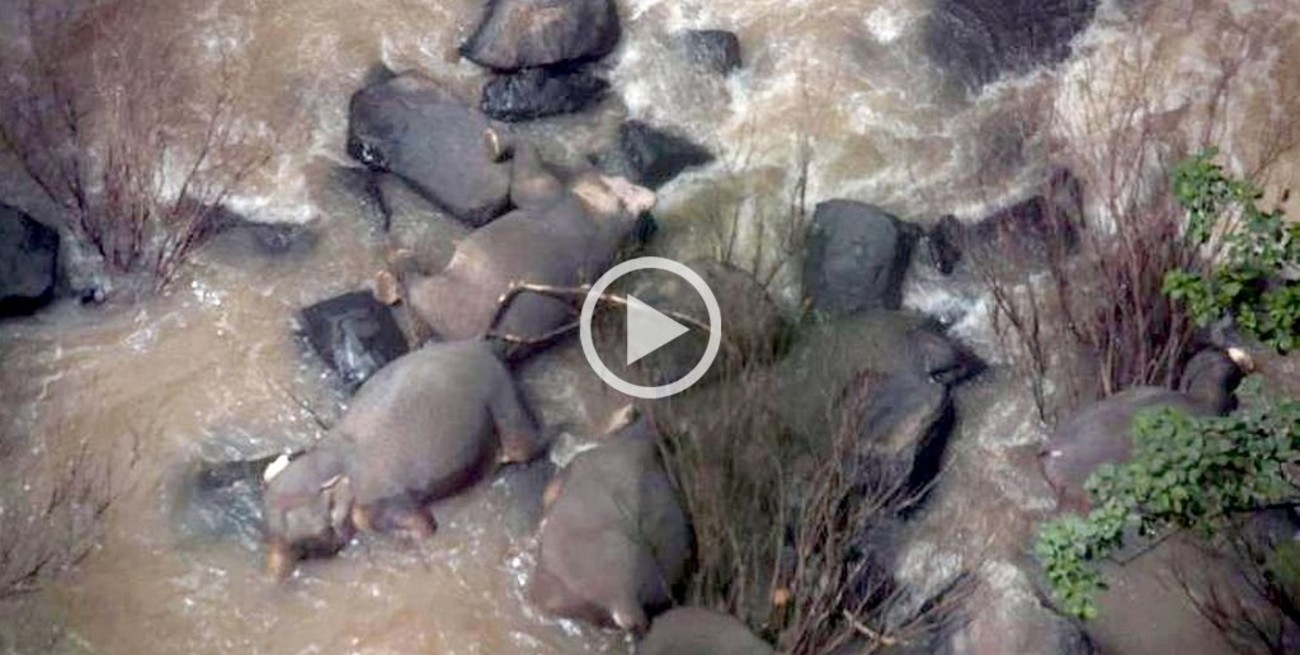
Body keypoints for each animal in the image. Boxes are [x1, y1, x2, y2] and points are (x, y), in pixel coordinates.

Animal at [261, 338, 544, 578]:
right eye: (270, 531)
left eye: (304, 546)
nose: (276, 572)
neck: (332, 457)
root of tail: (486, 345)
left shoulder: (383, 502)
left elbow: (425, 527)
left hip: (503, 395)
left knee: (526, 444)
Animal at [399, 138, 655, 343]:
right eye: (620, 179)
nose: (648, 196)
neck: (595, 211)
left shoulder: (542, 191)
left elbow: (525, 173)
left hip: (444, 296)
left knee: (417, 289)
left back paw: (401, 261)